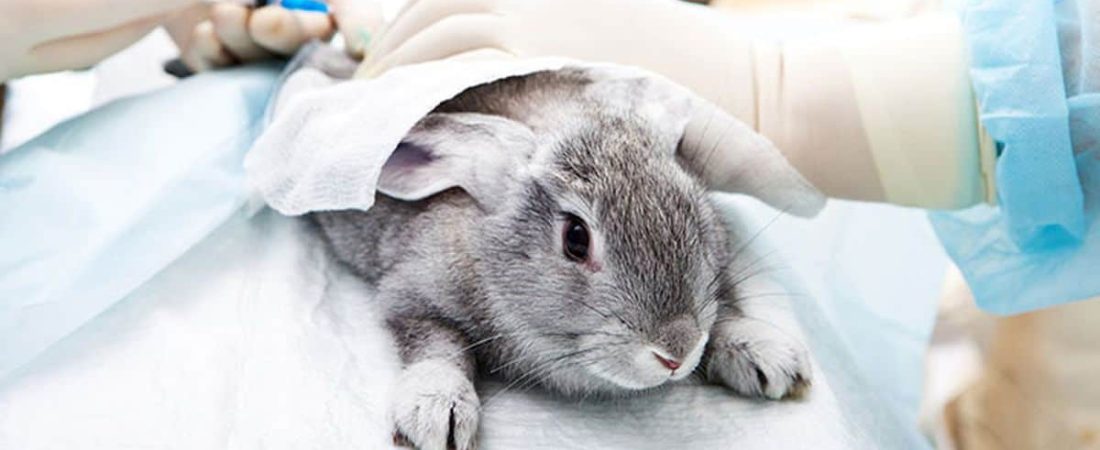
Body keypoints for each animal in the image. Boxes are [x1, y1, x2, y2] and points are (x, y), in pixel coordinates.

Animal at [312, 67, 813, 450]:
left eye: (692, 205)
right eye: (575, 238)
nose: (677, 351)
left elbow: (722, 308)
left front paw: (769, 356)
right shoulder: (411, 296)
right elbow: (437, 345)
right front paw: (437, 415)